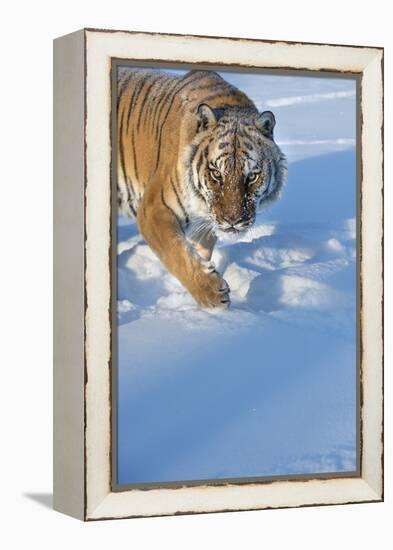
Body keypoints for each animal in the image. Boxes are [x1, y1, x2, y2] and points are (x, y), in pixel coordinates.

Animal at [116, 68, 284, 308]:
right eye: (216, 173)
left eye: (252, 176)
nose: (233, 221)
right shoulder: (153, 210)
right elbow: (177, 253)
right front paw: (213, 294)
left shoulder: (205, 222)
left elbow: (197, 251)